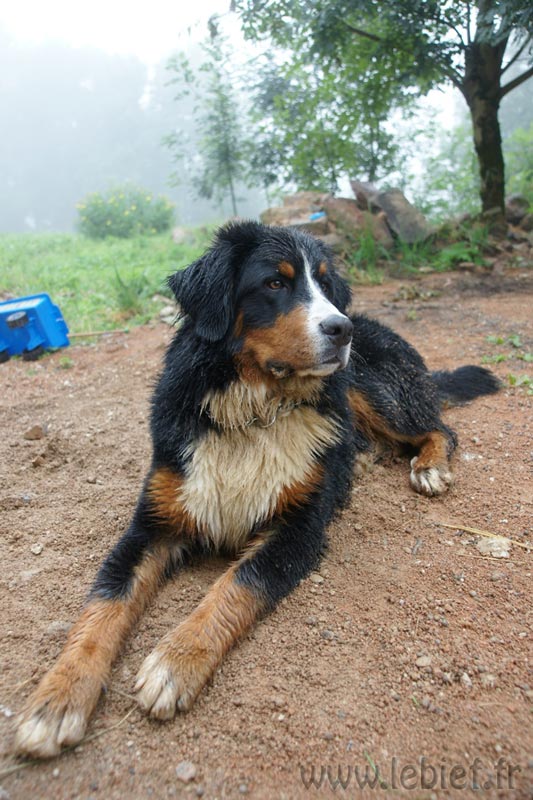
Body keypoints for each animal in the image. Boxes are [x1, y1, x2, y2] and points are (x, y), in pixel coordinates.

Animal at [14, 221, 500, 758]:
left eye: (325, 285)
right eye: (274, 283)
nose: (342, 329)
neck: (253, 409)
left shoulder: (298, 528)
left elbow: (234, 586)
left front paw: (176, 661)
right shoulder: (153, 523)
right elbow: (103, 608)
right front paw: (57, 698)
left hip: (370, 388)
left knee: (439, 428)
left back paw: (428, 467)